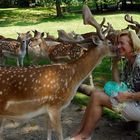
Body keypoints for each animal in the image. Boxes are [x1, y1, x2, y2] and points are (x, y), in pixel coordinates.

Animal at [0, 4, 116, 139]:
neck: (73, 79)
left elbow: (48, 131)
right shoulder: (55, 105)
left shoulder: (45, 109)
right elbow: (60, 134)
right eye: (109, 42)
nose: (118, 49)